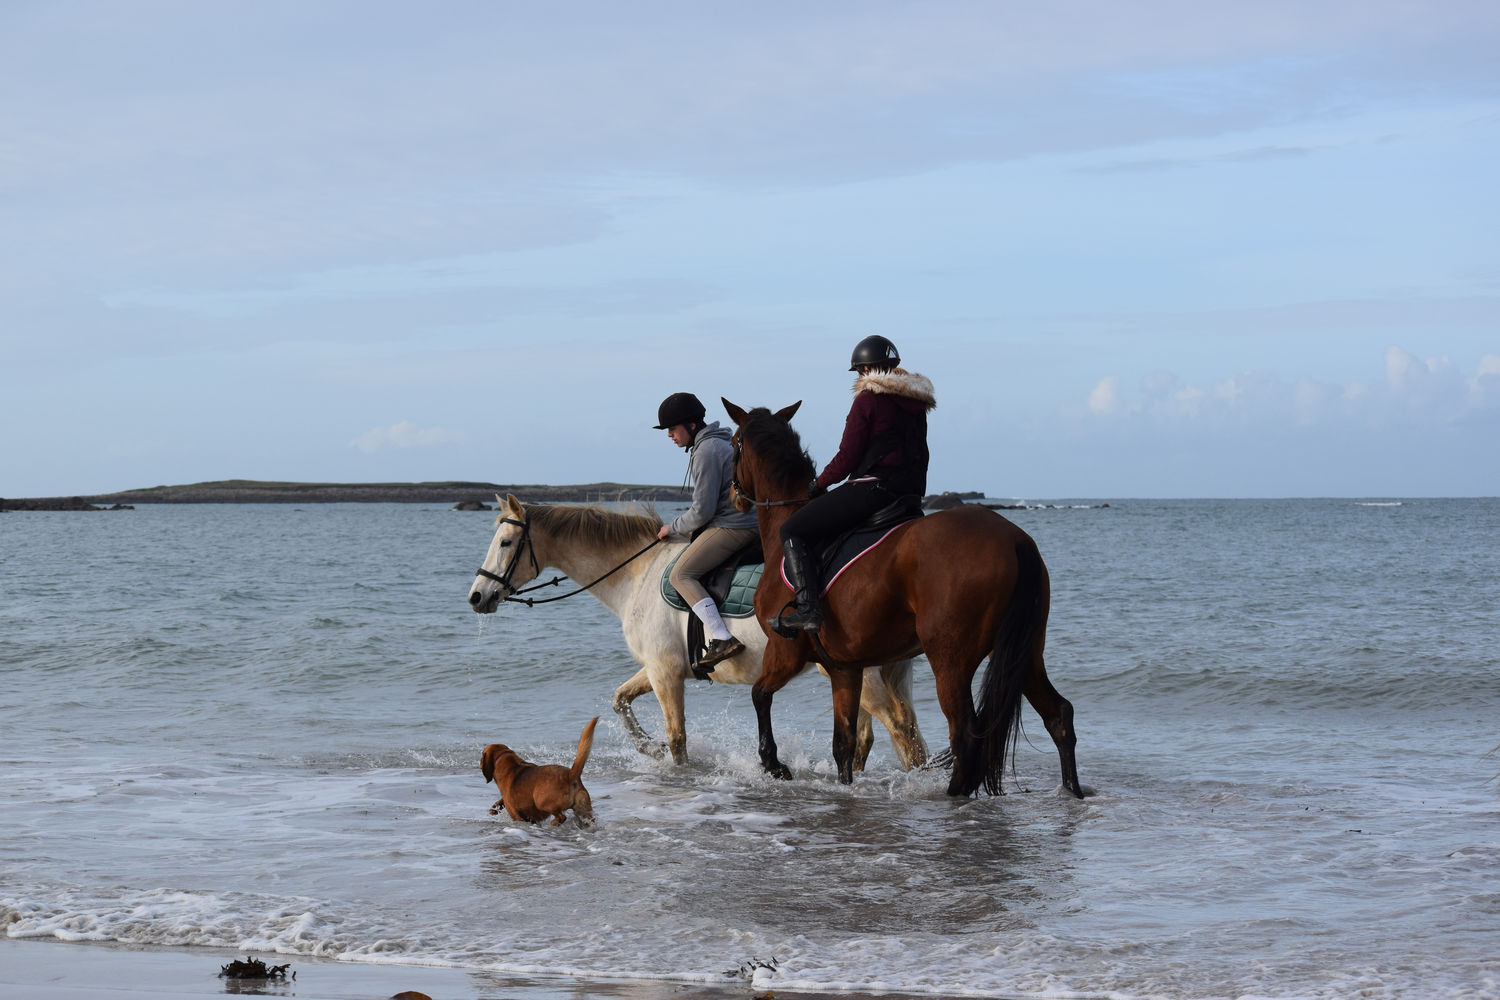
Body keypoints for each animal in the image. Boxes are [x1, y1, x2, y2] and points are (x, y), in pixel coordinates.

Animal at [462, 497, 924, 773]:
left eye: (505, 542)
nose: (476, 596)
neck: (639, 573)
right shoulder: (658, 668)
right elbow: (620, 700)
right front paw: (648, 749)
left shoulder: (666, 674)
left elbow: (677, 737)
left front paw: (671, 764)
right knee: (869, 736)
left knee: (900, 729)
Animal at [723, 398, 1086, 797]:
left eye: (734, 442)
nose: (734, 497)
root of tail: (1015, 539)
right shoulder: (845, 668)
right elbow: (844, 743)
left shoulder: (785, 652)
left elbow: (760, 695)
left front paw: (774, 764)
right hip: (1024, 652)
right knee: (1058, 715)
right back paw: (1071, 791)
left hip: (950, 660)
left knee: (965, 735)